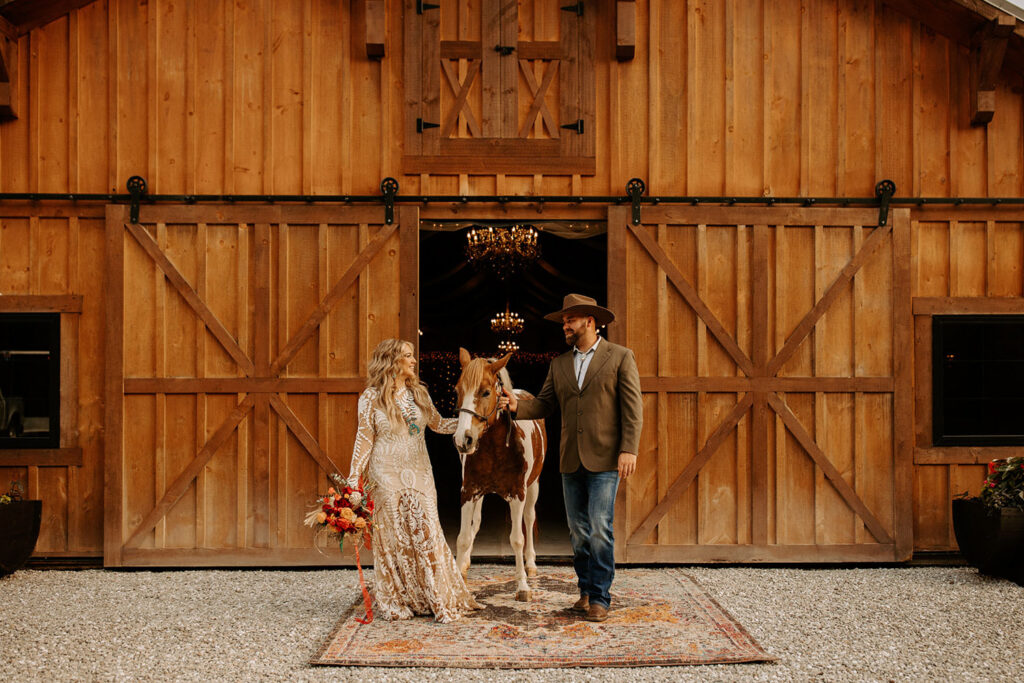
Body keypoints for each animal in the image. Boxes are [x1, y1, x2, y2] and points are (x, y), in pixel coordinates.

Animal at [454, 350, 544, 602]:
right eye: (457, 390)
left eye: (486, 392)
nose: (463, 439)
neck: (496, 447)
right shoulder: (469, 491)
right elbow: (464, 537)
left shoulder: (518, 494)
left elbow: (517, 539)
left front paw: (522, 586)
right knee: (475, 524)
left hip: (533, 487)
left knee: (530, 519)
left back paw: (531, 565)